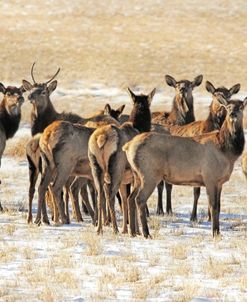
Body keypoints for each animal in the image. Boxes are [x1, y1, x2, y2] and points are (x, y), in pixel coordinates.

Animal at [88, 87, 155, 234]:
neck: (138, 127)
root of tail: (101, 138)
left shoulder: (125, 181)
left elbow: (124, 201)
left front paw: (126, 229)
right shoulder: (134, 177)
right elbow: (131, 200)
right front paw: (135, 231)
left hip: (96, 169)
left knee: (100, 196)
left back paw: (99, 229)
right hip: (115, 171)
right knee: (110, 196)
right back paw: (114, 228)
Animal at [124, 99, 246, 238]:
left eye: (241, 107)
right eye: (228, 106)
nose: (232, 114)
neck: (226, 151)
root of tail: (128, 146)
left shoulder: (219, 182)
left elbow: (219, 206)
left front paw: (218, 232)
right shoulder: (210, 177)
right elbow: (213, 206)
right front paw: (215, 232)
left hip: (137, 174)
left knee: (130, 198)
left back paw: (133, 232)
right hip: (149, 174)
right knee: (139, 199)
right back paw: (146, 233)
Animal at [157, 81, 240, 218]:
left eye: (229, 94)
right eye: (214, 94)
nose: (222, 103)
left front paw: (210, 215)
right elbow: (197, 192)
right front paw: (193, 216)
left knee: (166, 184)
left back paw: (167, 210)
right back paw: (159, 210)